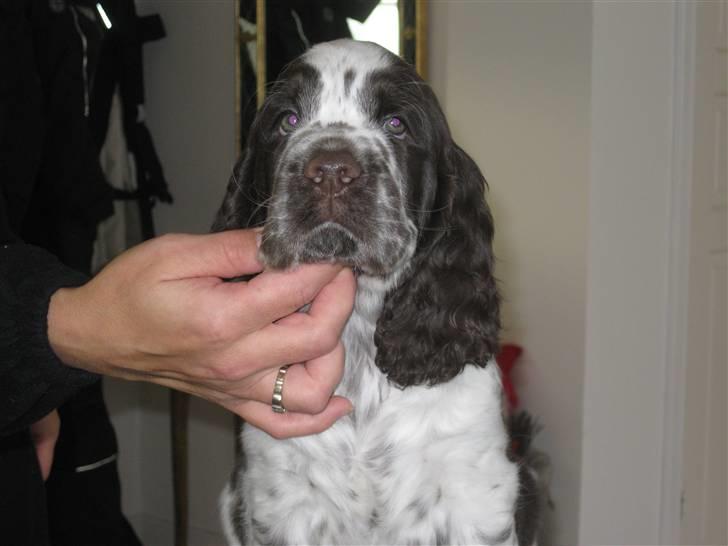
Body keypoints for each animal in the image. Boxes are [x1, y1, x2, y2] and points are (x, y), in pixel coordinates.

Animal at [213, 39, 536, 544]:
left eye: (396, 124)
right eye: (287, 120)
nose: (329, 170)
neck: (360, 337)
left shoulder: (472, 490)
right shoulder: (283, 495)